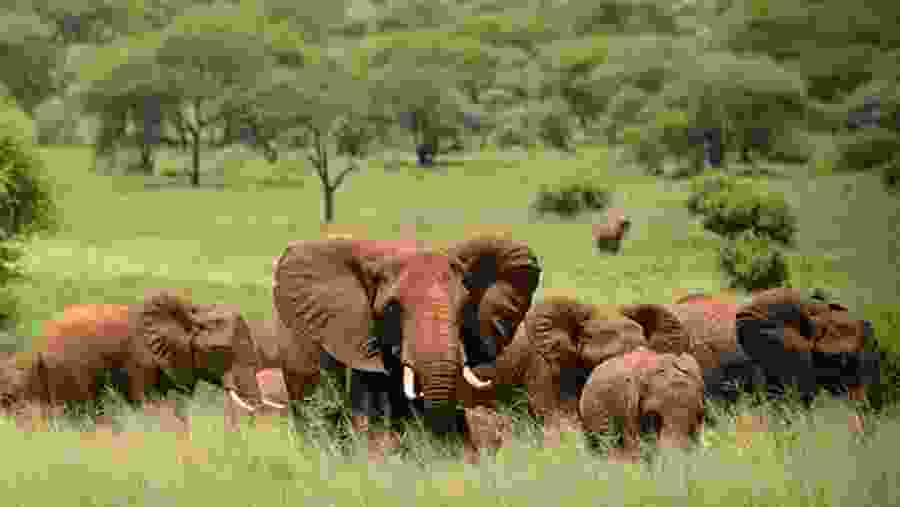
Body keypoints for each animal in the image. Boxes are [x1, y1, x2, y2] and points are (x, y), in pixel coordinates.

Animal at [0, 291, 266, 432]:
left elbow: (177, 406)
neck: (193, 311)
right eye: (221, 351)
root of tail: (38, 342)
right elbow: (148, 403)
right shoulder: (139, 363)